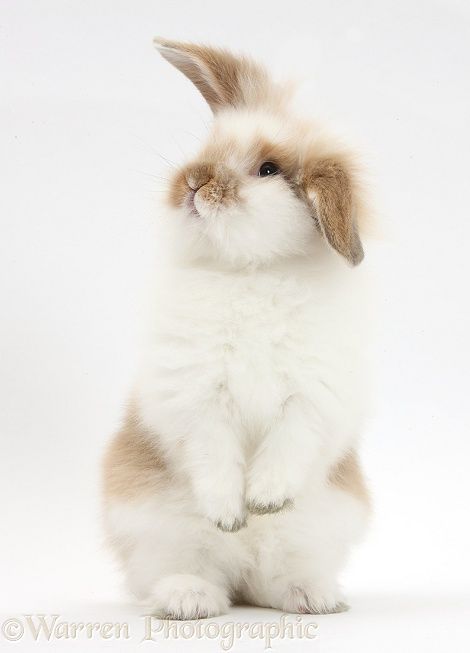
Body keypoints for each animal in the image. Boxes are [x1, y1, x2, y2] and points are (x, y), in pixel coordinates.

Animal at [102, 38, 370, 620]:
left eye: (268, 169)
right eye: (208, 146)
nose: (193, 181)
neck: (251, 272)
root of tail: (239, 578)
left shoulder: (312, 395)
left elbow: (290, 442)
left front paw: (263, 500)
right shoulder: (198, 393)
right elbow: (213, 452)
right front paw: (231, 513)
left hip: (316, 525)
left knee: (273, 578)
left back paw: (314, 597)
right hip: (158, 529)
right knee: (186, 572)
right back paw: (189, 600)